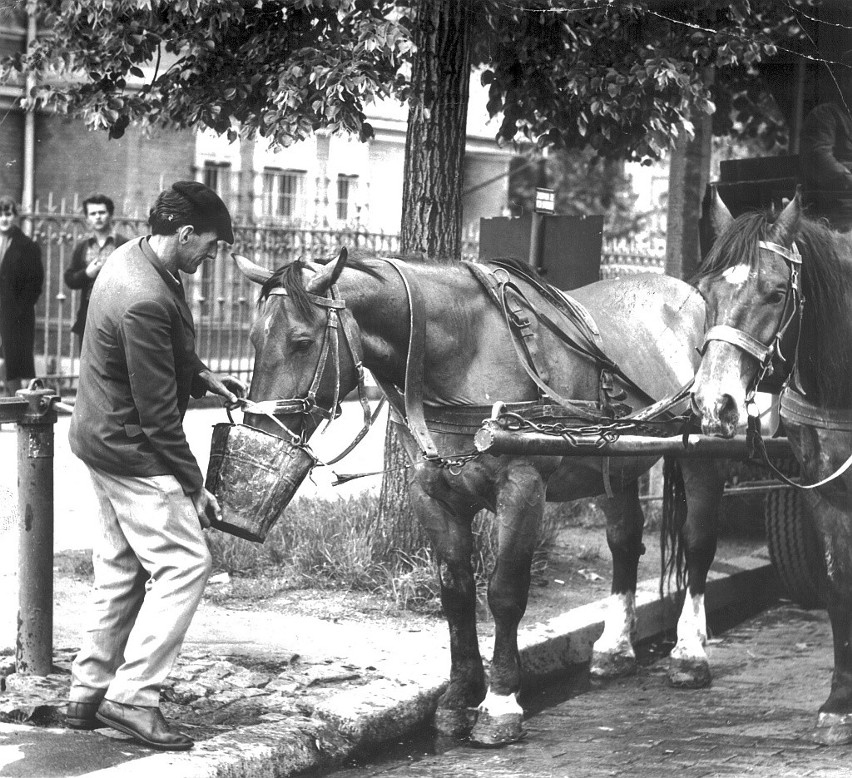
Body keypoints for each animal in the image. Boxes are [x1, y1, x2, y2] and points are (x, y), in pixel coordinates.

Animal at [235, 250, 724, 744]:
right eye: (253, 338)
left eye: (301, 341)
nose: (260, 429)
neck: (465, 346)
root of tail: (692, 294)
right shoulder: (432, 493)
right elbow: (457, 594)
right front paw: (459, 697)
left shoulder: (522, 488)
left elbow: (505, 593)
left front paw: (500, 702)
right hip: (617, 461)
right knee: (625, 542)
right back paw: (615, 647)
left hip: (702, 454)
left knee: (698, 543)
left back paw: (690, 653)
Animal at [692, 191, 852, 744]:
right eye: (704, 292)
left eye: (778, 291)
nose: (715, 403)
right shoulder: (822, 490)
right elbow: (838, 581)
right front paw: (839, 704)